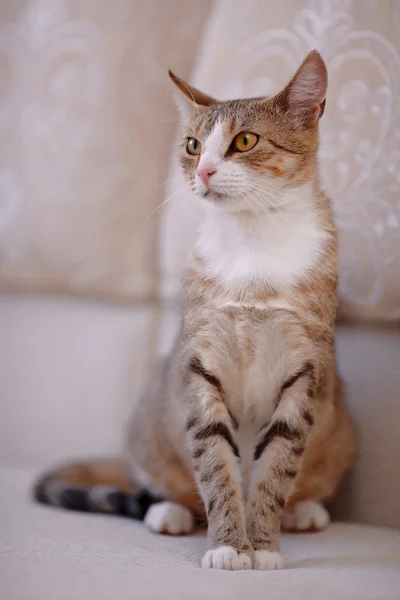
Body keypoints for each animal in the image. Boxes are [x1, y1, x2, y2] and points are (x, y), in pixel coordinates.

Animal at [33, 49, 356, 568]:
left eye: (244, 140)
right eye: (192, 145)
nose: (203, 171)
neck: (252, 246)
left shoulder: (303, 367)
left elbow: (276, 469)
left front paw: (262, 547)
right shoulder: (200, 363)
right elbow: (215, 465)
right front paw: (229, 545)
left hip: (341, 430)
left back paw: (305, 510)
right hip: (149, 426)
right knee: (159, 483)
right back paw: (169, 511)